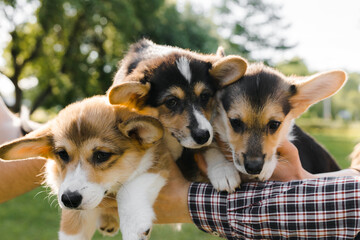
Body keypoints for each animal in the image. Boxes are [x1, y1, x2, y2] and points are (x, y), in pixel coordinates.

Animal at [0, 95, 173, 240]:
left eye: (101, 155)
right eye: (62, 154)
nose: (70, 200)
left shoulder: (161, 161)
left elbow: (129, 190)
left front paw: (134, 226)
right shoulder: (76, 214)